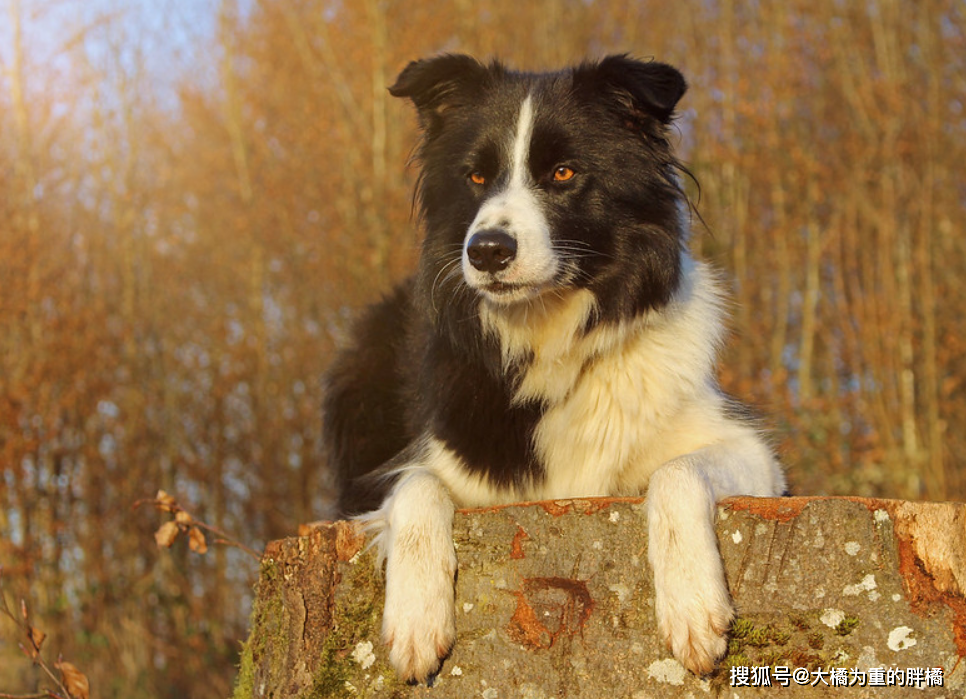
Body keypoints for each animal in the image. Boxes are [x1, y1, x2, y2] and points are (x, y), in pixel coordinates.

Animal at [326, 54, 788, 684]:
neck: (552, 336)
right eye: (476, 178)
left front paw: (694, 607)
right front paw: (416, 620)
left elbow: (676, 472)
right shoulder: (413, 468)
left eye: (564, 173)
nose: (486, 251)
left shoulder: (753, 455)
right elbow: (417, 486)